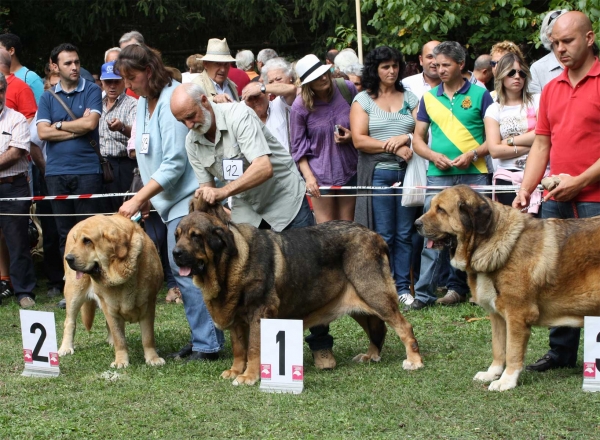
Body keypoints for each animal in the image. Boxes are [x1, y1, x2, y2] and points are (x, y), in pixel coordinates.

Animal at [58, 213, 164, 368]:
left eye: (87, 241)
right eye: (76, 240)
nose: (68, 258)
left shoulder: (148, 305)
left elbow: (148, 337)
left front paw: (153, 358)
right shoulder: (110, 308)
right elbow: (120, 338)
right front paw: (121, 361)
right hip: (74, 294)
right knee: (69, 322)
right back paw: (66, 348)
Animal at [414, 184, 600, 390]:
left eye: (441, 210)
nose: (416, 224)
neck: (487, 243)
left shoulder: (517, 316)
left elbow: (512, 352)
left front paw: (506, 380)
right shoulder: (497, 316)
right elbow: (498, 348)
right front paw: (492, 373)